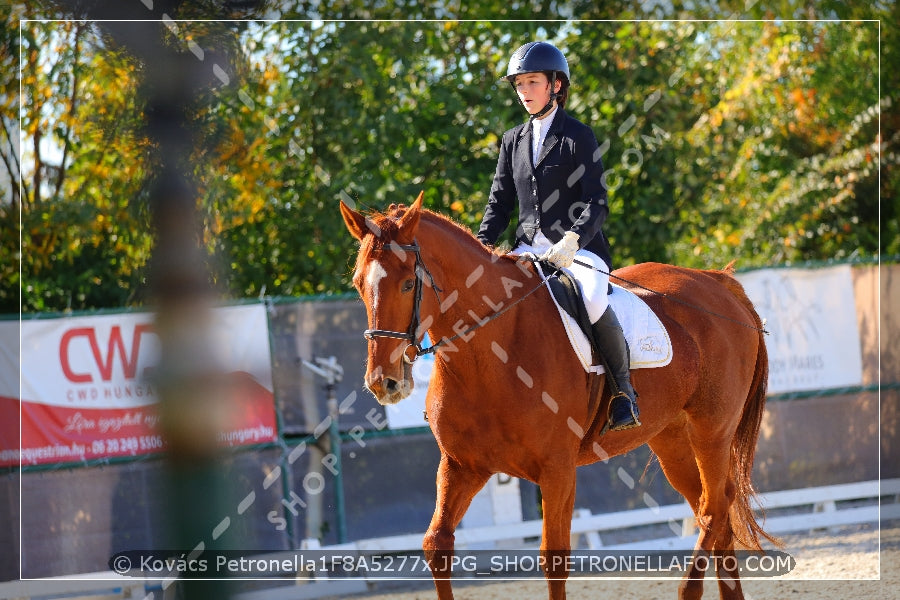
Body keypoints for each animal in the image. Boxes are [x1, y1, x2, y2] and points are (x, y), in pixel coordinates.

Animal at [342, 193, 776, 600]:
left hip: (711, 430)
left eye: (408, 284)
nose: (384, 382)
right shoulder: (461, 466)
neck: (491, 353)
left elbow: (553, 558)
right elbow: (437, 545)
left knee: (714, 506)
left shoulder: (557, 469)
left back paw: (688, 590)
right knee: (713, 506)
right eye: (359, 284)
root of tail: (718, 282)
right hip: (671, 438)